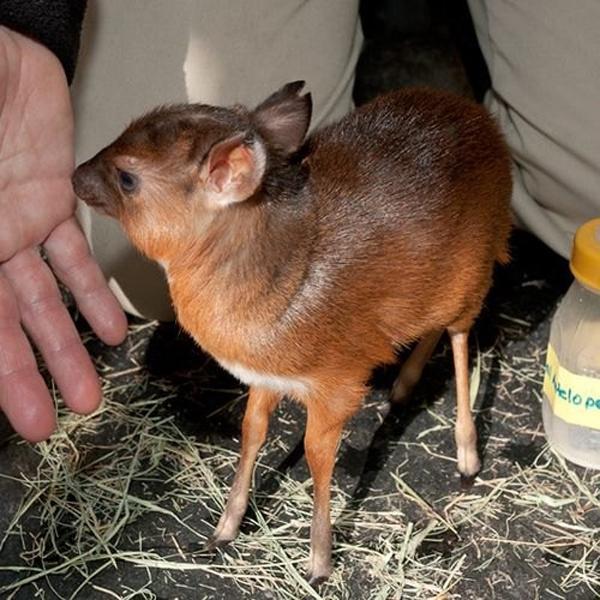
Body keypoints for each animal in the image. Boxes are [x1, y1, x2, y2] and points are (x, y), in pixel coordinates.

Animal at [71, 82, 510, 584]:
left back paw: (467, 456)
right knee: (433, 326)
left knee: (459, 335)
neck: (278, 279)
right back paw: (403, 385)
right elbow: (252, 432)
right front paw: (224, 529)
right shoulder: (265, 376)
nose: (75, 176)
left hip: (474, 271)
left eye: (128, 178)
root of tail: (486, 124)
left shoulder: (337, 383)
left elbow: (318, 456)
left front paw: (319, 562)